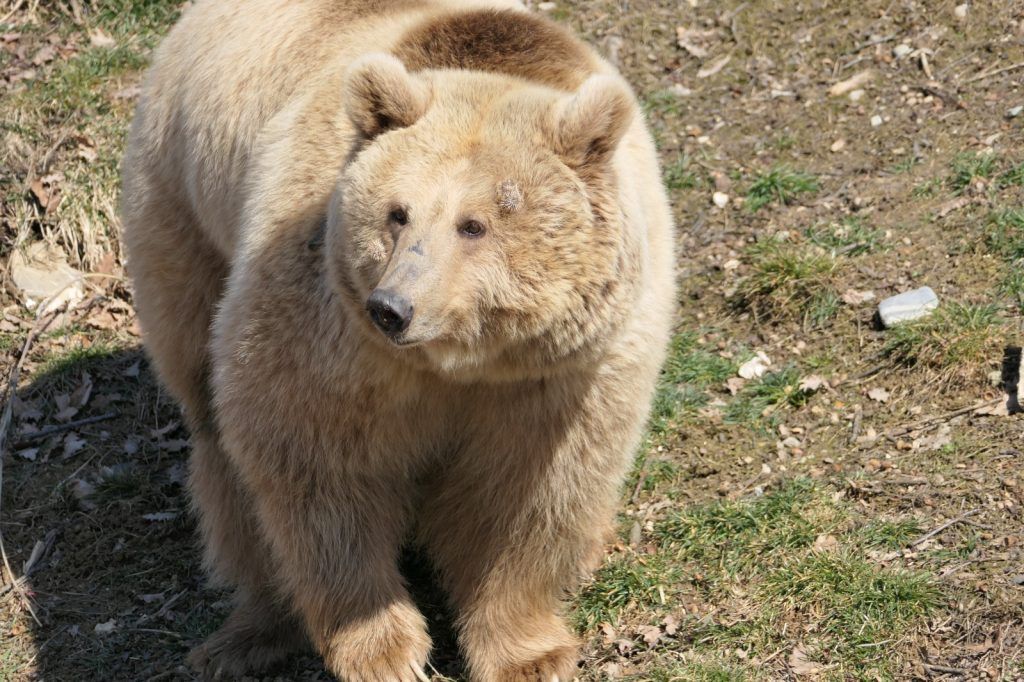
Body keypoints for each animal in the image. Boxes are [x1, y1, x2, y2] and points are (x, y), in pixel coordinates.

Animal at [119, 0, 675, 675]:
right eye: (397, 212)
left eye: (474, 224)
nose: (393, 308)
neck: (463, 363)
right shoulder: (329, 331)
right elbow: (314, 464)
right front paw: (385, 649)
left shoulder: (565, 373)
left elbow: (526, 497)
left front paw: (530, 654)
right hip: (183, 207)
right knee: (216, 431)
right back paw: (251, 633)